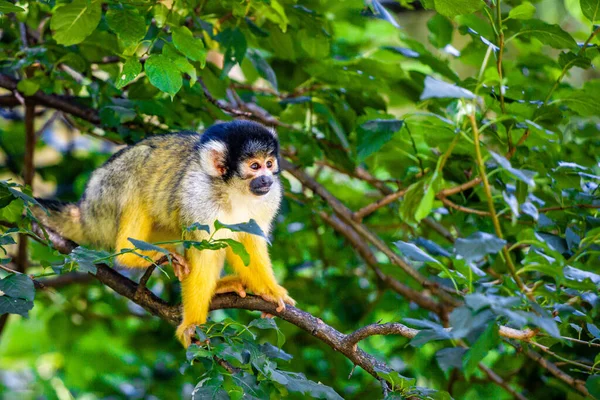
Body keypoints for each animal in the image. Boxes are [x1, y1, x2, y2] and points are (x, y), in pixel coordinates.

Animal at [34, 120, 292, 346]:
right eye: (255, 166)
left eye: (269, 163)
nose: (267, 179)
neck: (233, 191)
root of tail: (84, 209)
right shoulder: (199, 197)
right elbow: (202, 250)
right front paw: (192, 324)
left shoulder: (270, 198)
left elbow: (247, 243)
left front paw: (269, 292)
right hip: (104, 199)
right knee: (136, 170)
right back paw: (133, 254)